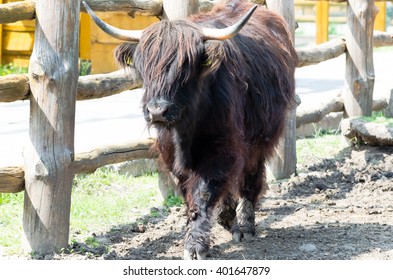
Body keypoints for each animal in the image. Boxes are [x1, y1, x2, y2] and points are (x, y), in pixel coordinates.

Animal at [83, 0, 298, 260]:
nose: (157, 111)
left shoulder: (222, 146)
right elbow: (189, 193)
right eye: (145, 67)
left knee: (250, 176)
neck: (185, 129)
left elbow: (204, 192)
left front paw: (195, 246)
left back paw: (246, 225)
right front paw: (211, 225)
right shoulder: (171, 154)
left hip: (262, 135)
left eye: (184, 69)